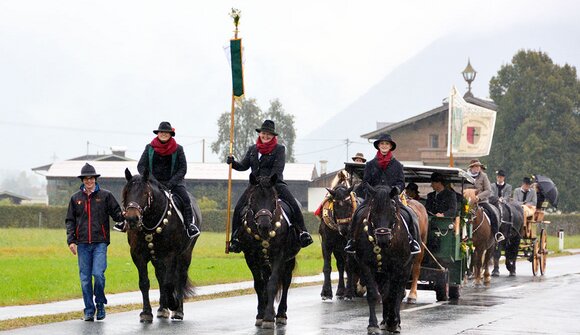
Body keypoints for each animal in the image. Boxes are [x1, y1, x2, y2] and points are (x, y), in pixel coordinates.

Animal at [121, 169, 201, 324]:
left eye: (145, 193)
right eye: (127, 192)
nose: (132, 219)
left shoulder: (170, 255)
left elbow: (169, 283)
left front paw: (173, 303)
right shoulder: (138, 256)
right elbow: (145, 283)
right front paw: (146, 313)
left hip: (185, 255)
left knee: (180, 278)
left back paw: (178, 310)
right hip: (156, 258)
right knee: (161, 277)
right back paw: (162, 308)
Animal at [236, 175, 300, 330]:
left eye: (273, 199)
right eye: (253, 199)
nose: (264, 225)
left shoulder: (279, 256)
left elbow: (272, 284)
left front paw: (269, 317)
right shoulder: (250, 257)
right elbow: (260, 285)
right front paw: (261, 315)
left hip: (289, 261)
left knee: (286, 282)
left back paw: (281, 314)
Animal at [352, 185, 414, 334]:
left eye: (392, 211)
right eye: (373, 211)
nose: (383, 239)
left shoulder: (397, 267)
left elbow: (393, 294)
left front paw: (393, 321)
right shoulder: (366, 265)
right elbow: (374, 294)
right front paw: (373, 325)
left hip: (406, 268)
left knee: (398, 292)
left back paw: (394, 321)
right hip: (381, 274)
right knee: (384, 293)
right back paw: (385, 321)